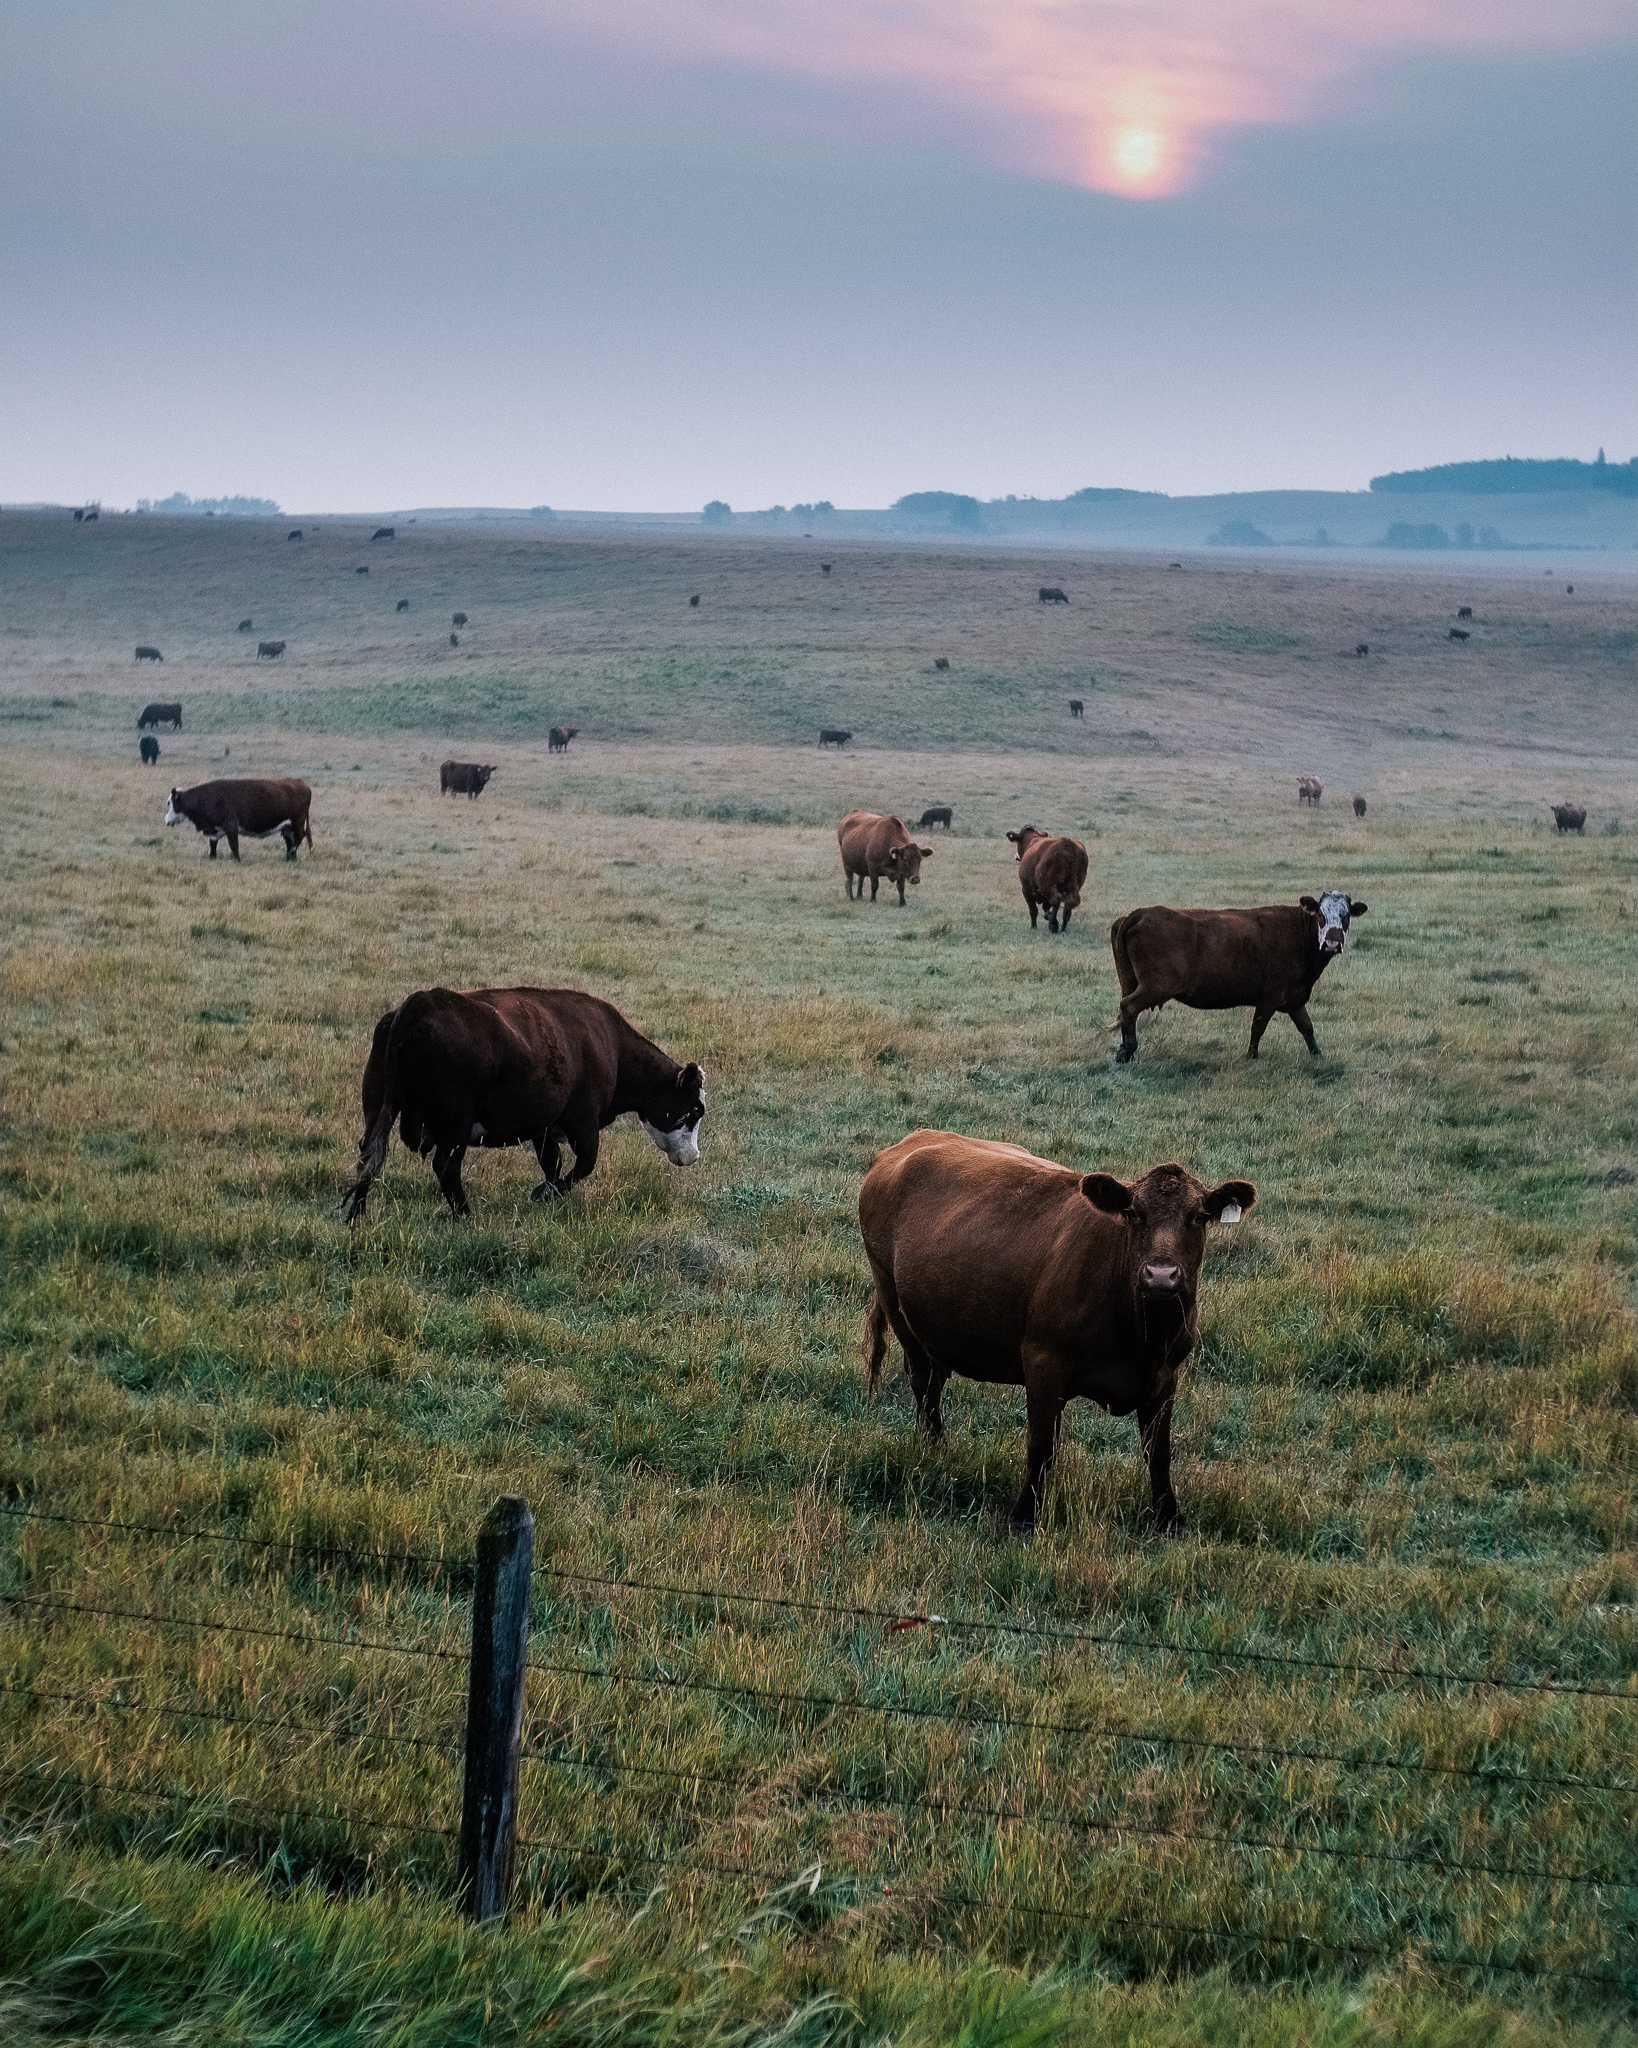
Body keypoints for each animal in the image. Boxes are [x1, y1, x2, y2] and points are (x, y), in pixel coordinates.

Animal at [165, 770, 317, 860]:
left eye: (170, 803)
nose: (166, 821)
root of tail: (300, 783)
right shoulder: (214, 829)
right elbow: (213, 843)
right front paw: (212, 857)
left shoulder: (231, 825)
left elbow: (234, 844)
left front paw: (236, 859)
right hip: (287, 826)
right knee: (290, 839)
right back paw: (290, 858)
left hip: (298, 821)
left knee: (300, 835)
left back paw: (291, 853)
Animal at [346, 987, 704, 1220]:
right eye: (694, 1111)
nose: (693, 1157)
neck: (609, 1045)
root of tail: (416, 1005)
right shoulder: (583, 1120)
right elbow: (583, 1165)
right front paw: (543, 1194)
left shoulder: (542, 1126)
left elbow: (552, 1163)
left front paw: (547, 1193)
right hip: (455, 1125)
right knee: (446, 1167)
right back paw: (466, 1217)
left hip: (376, 1108)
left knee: (369, 1157)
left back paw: (357, 1216)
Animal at [855, 1138, 1253, 1540]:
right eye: (1133, 1213)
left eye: (1199, 1216)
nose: (1160, 1275)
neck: (1143, 1339)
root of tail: (911, 1142)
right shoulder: (1044, 1365)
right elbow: (1041, 1447)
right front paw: (1023, 1516)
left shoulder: (1165, 1376)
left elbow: (1158, 1452)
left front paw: (1168, 1517)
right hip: (893, 1299)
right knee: (923, 1384)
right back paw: (935, 1450)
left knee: (935, 1380)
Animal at [1105, 888, 1359, 1064]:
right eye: (1321, 916)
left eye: (1346, 916)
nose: (1332, 942)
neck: (1299, 932)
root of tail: (1140, 913)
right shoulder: (1271, 996)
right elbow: (1258, 1027)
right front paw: (1252, 1056)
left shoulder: (1294, 999)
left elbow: (1307, 1028)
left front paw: (1318, 1055)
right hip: (1156, 986)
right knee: (1129, 1006)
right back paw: (1127, 1051)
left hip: (1134, 982)